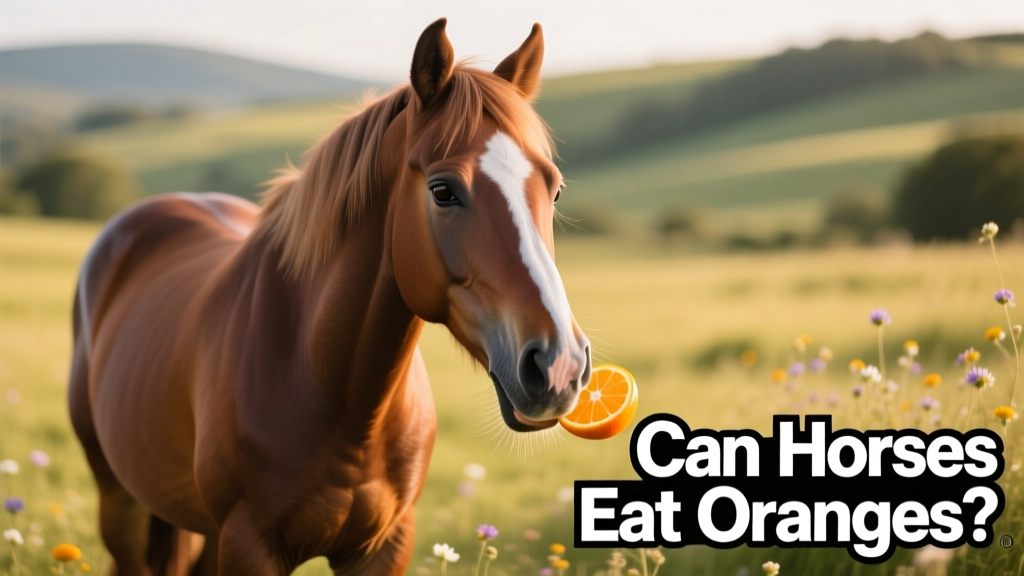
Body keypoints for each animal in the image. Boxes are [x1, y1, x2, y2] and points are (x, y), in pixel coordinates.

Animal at [68, 18, 591, 576]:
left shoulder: (385, 545)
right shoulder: (250, 543)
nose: (559, 365)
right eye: (443, 190)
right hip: (121, 504)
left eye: (555, 189)